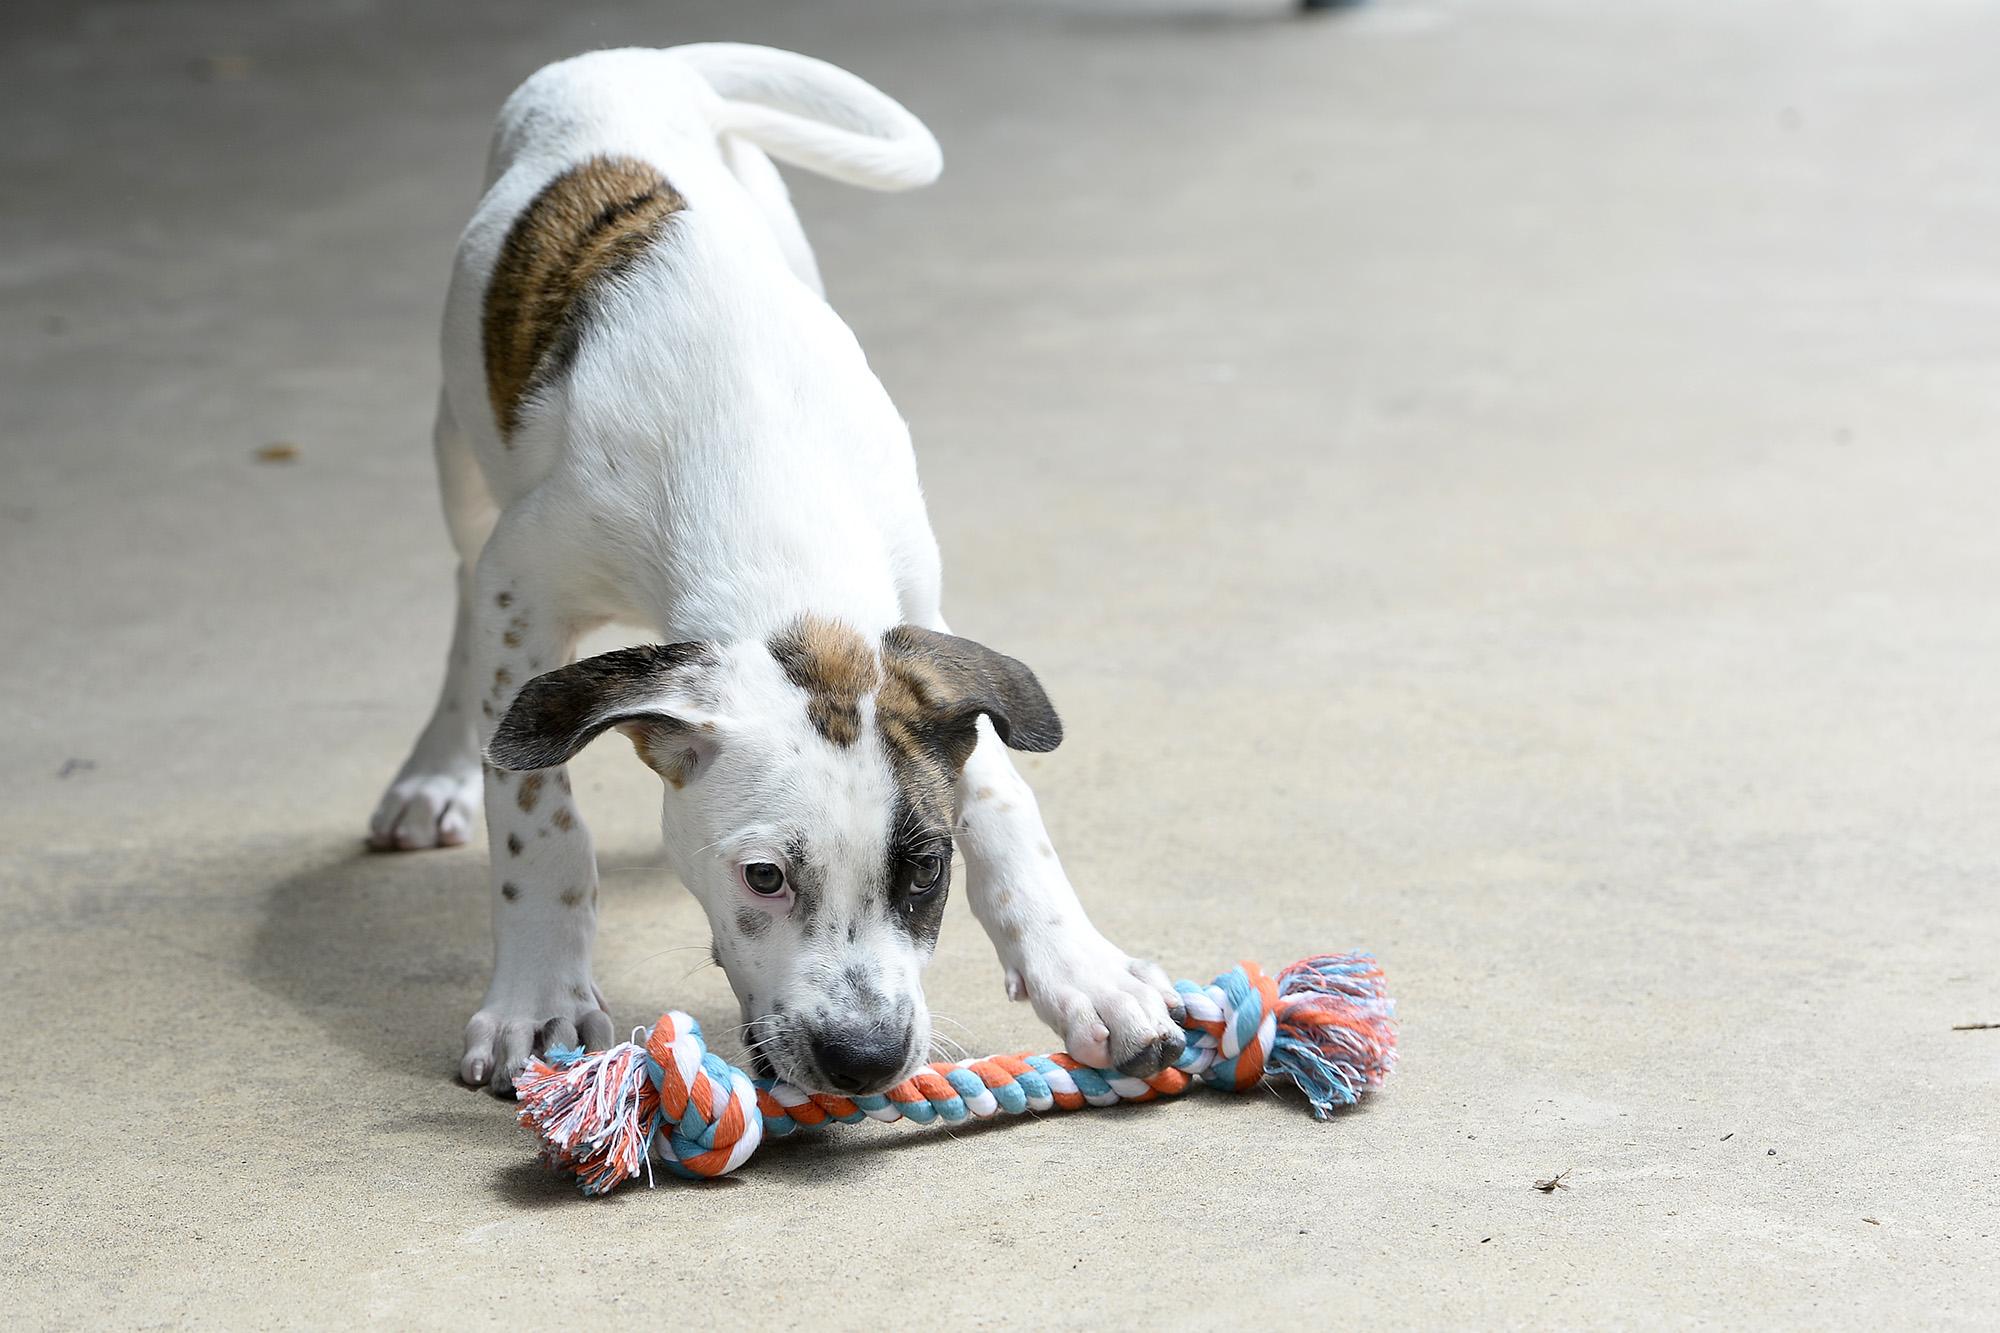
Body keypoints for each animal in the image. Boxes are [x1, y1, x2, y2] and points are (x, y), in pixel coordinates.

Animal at [368, 46, 1176, 1096]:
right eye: (764, 877)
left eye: (925, 871)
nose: (866, 1060)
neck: (771, 486)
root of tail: (641, 59)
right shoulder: (525, 588)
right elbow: (536, 810)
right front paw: (539, 996)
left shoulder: (921, 624)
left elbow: (1002, 797)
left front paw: (1082, 968)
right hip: (461, 463)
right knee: (463, 613)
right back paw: (432, 773)